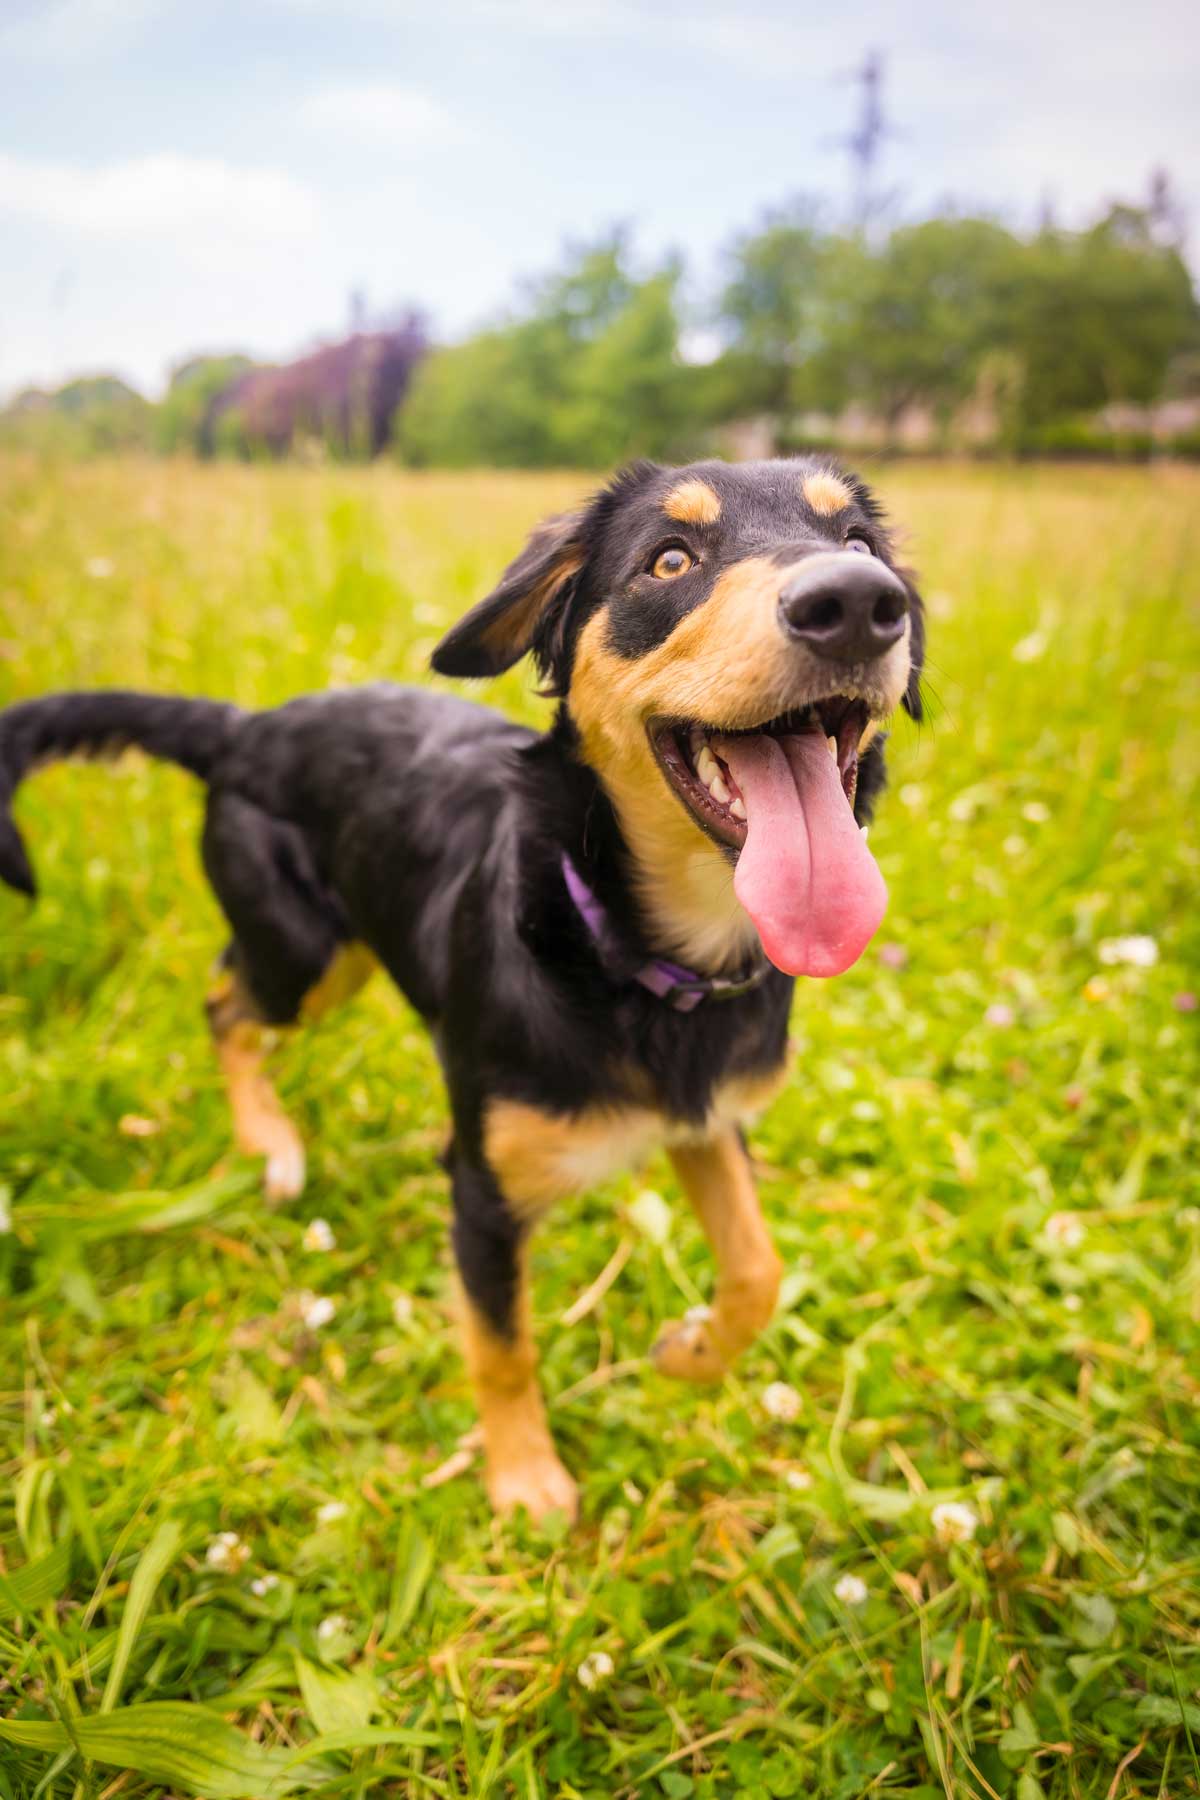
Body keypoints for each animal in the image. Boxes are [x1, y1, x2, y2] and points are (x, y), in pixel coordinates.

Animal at [0, 453, 928, 1519]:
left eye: (857, 542)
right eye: (669, 560)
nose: (857, 602)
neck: (637, 959)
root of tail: (248, 726)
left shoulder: (706, 1120)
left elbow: (757, 1268)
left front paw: (691, 1353)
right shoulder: (481, 1191)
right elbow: (502, 1345)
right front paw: (524, 1479)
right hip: (303, 959)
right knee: (224, 1002)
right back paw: (269, 1142)